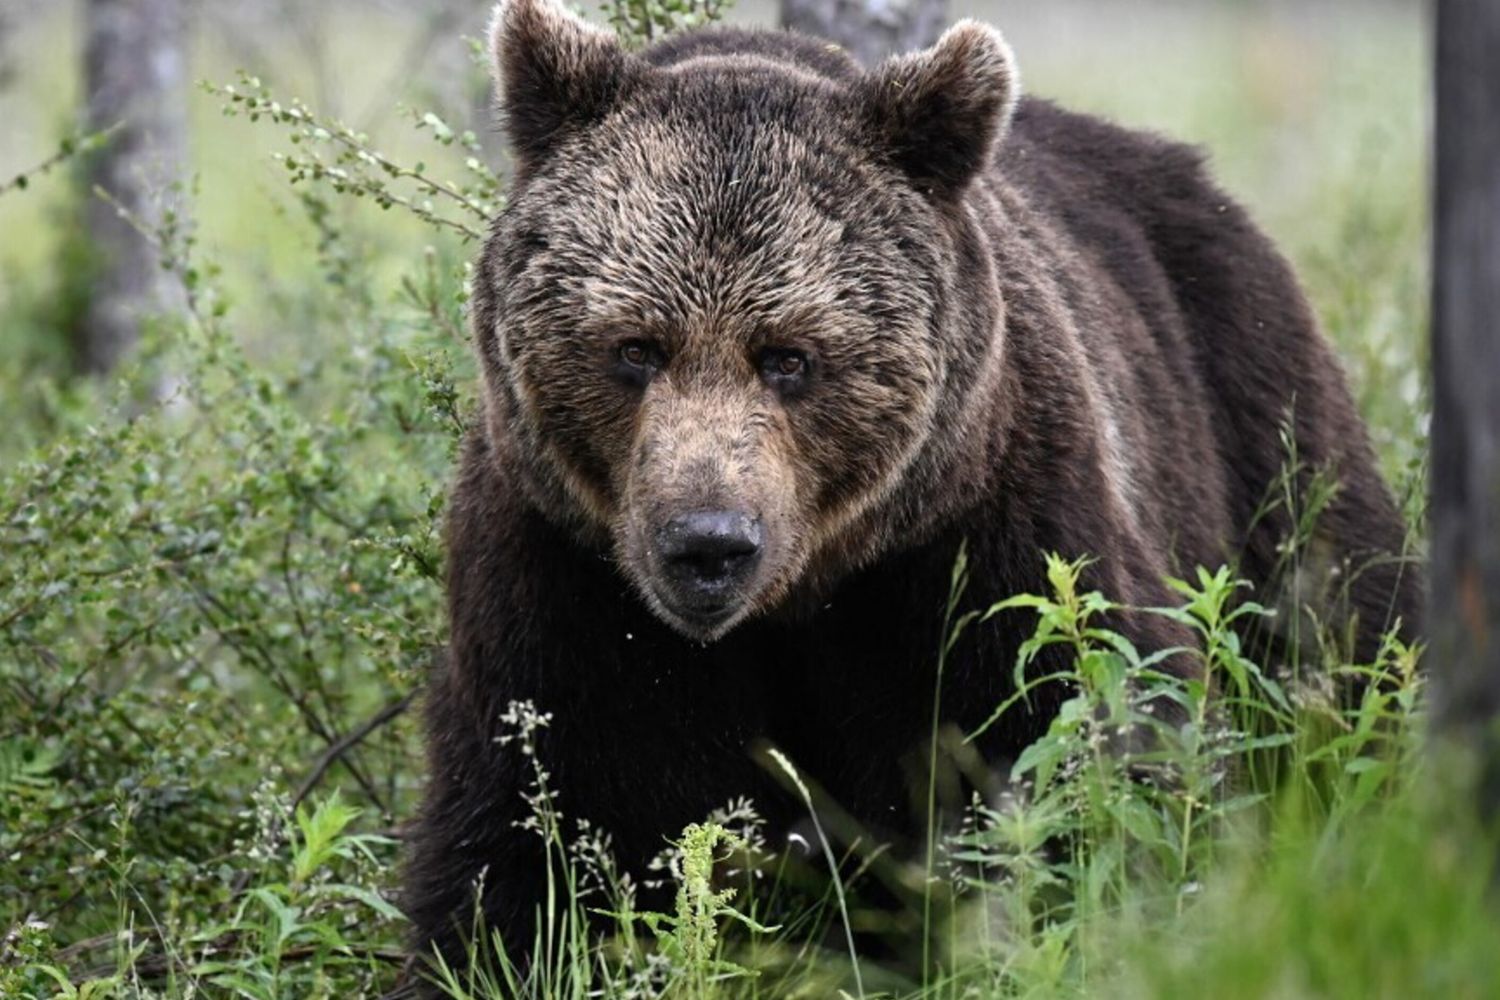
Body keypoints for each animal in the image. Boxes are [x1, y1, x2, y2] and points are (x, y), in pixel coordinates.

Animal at [404, 0, 1422, 982]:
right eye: (634, 347)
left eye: (790, 356)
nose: (707, 544)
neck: (800, 599)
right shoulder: (566, 581)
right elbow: (538, 830)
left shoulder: (981, 541)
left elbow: (1079, 744)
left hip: (1254, 415)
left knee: (1342, 625)